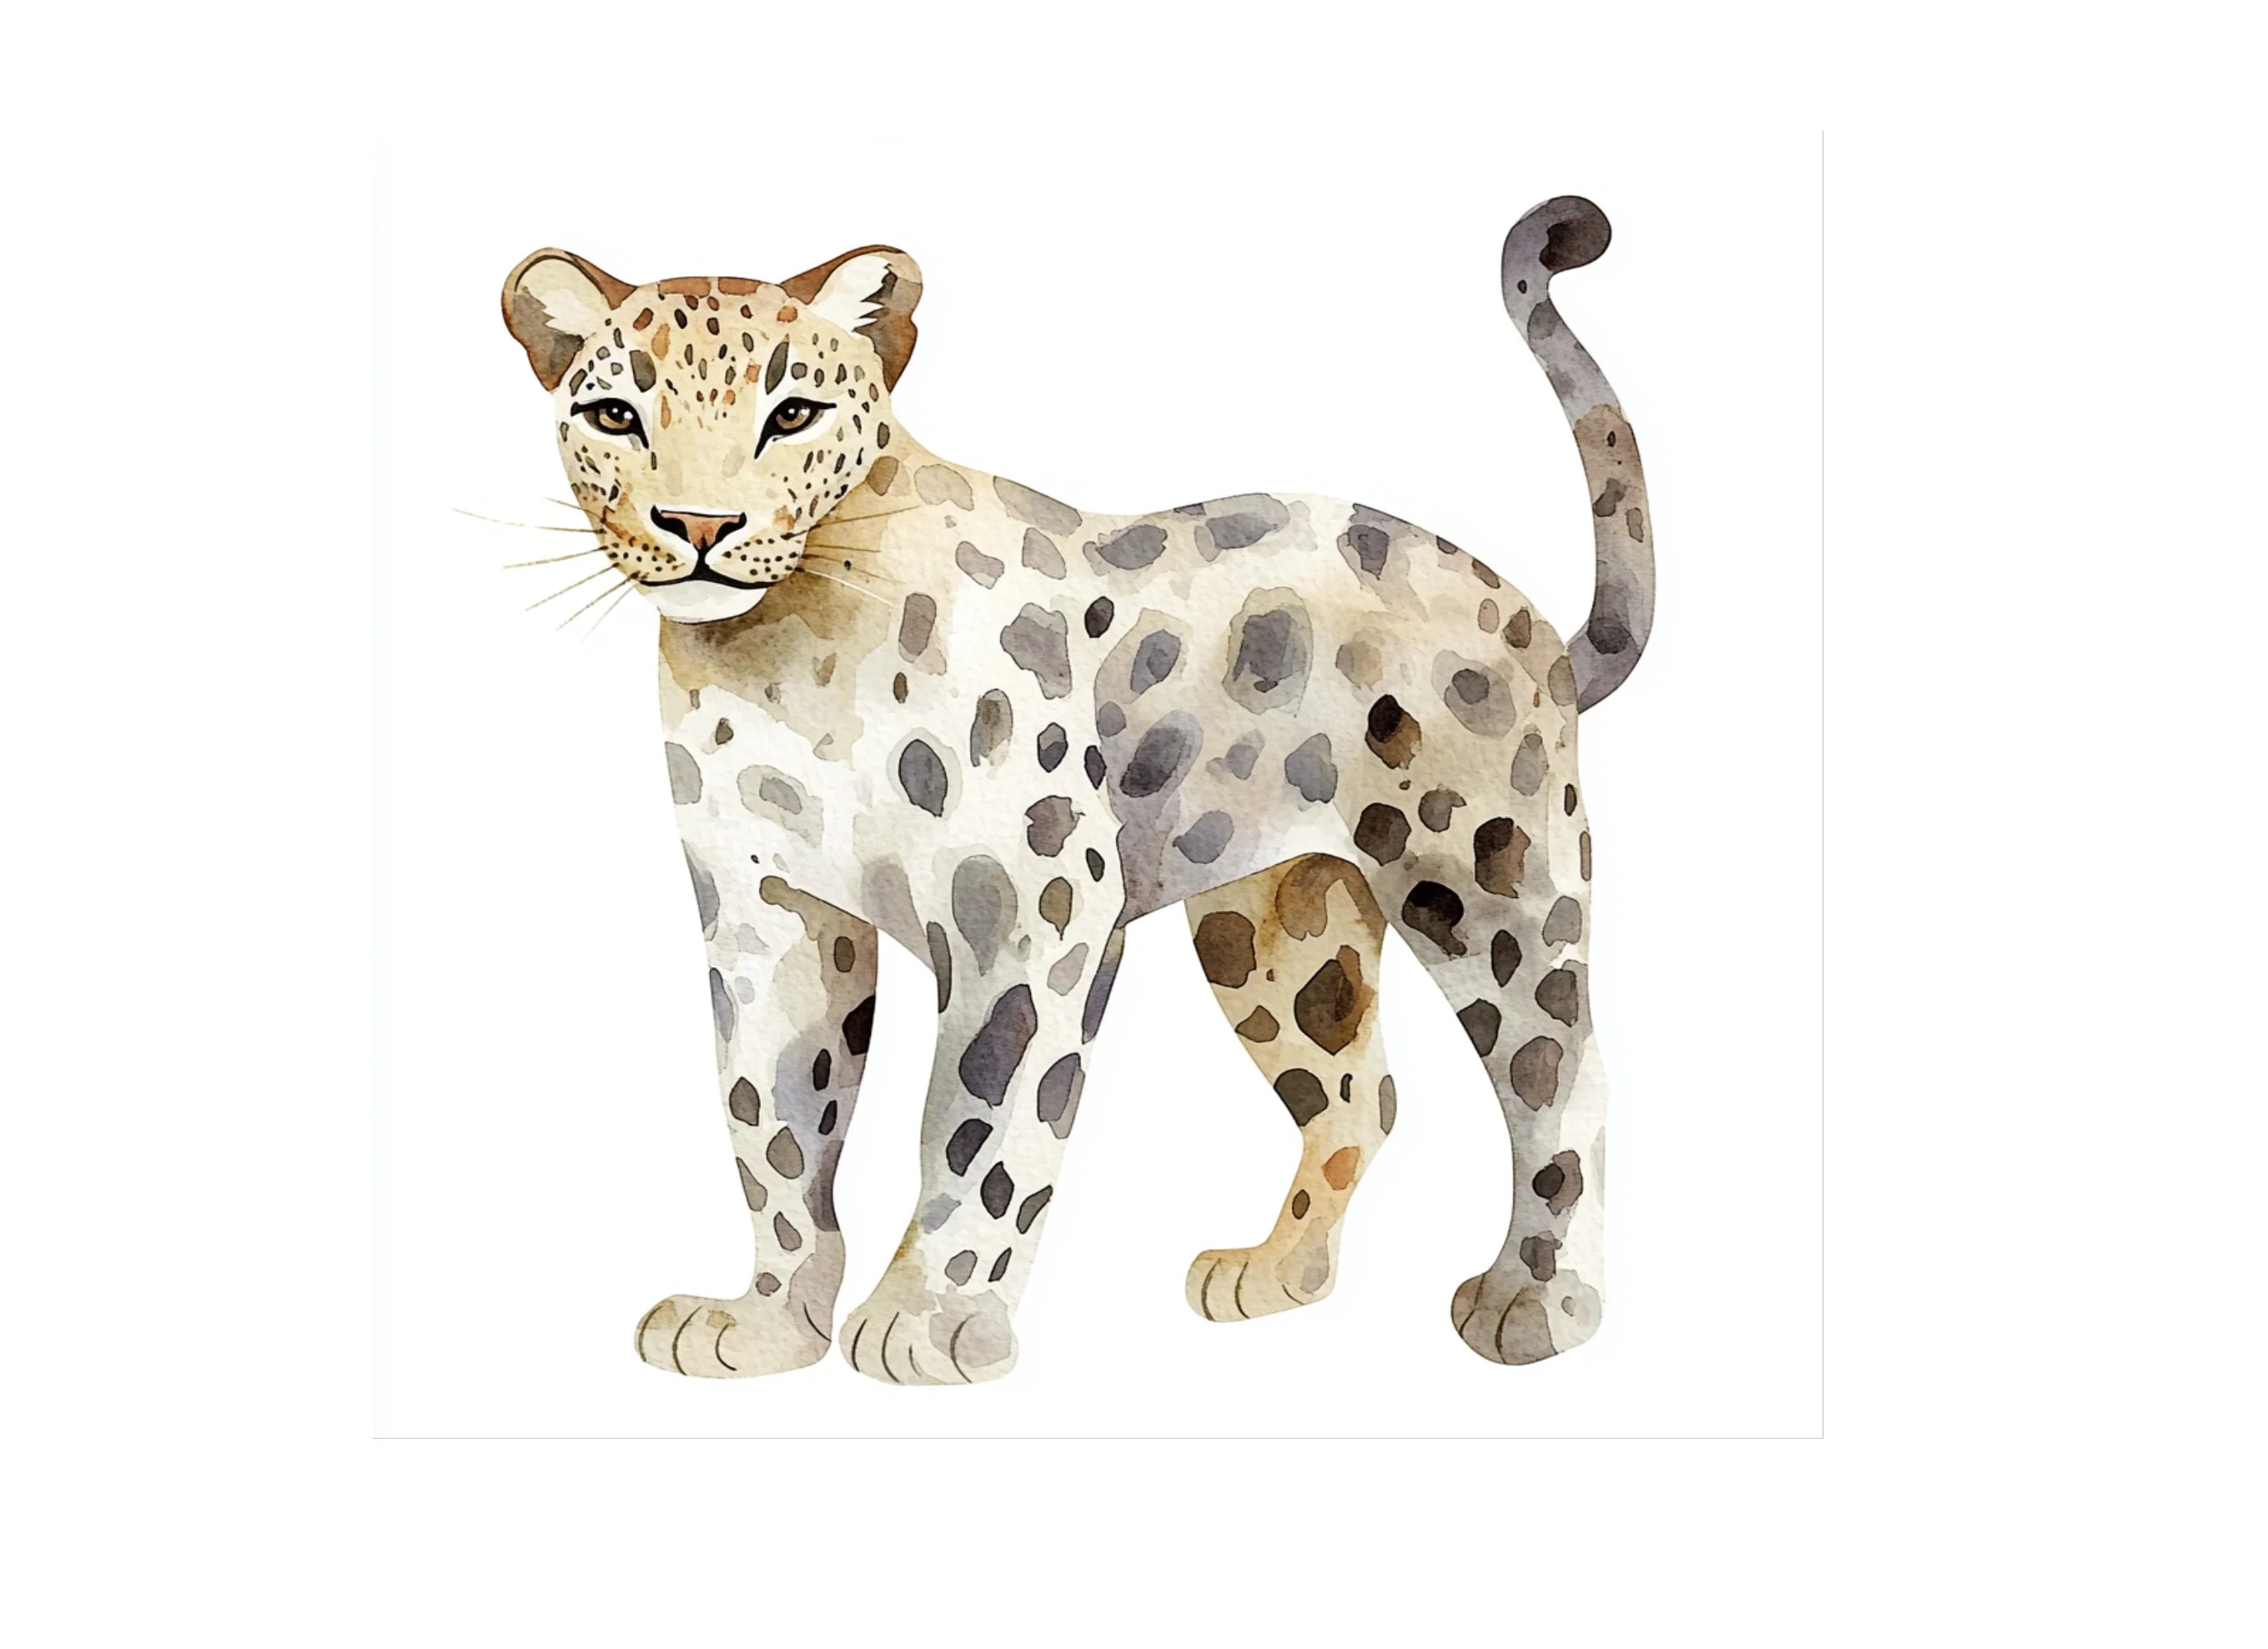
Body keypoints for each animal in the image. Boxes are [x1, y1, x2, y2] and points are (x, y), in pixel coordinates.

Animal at [499, 196, 1654, 1384]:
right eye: (613, 412)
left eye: (793, 413)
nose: (696, 525)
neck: (776, 655)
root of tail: (1523, 611)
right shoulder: (767, 911)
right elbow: (773, 1119)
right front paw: (768, 1320)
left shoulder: (1026, 905)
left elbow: (978, 1122)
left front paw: (927, 1322)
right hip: (1272, 931)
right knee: (1359, 1096)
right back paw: (1273, 1274)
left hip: (1482, 876)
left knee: (1559, 1077)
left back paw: (1536, 1302)